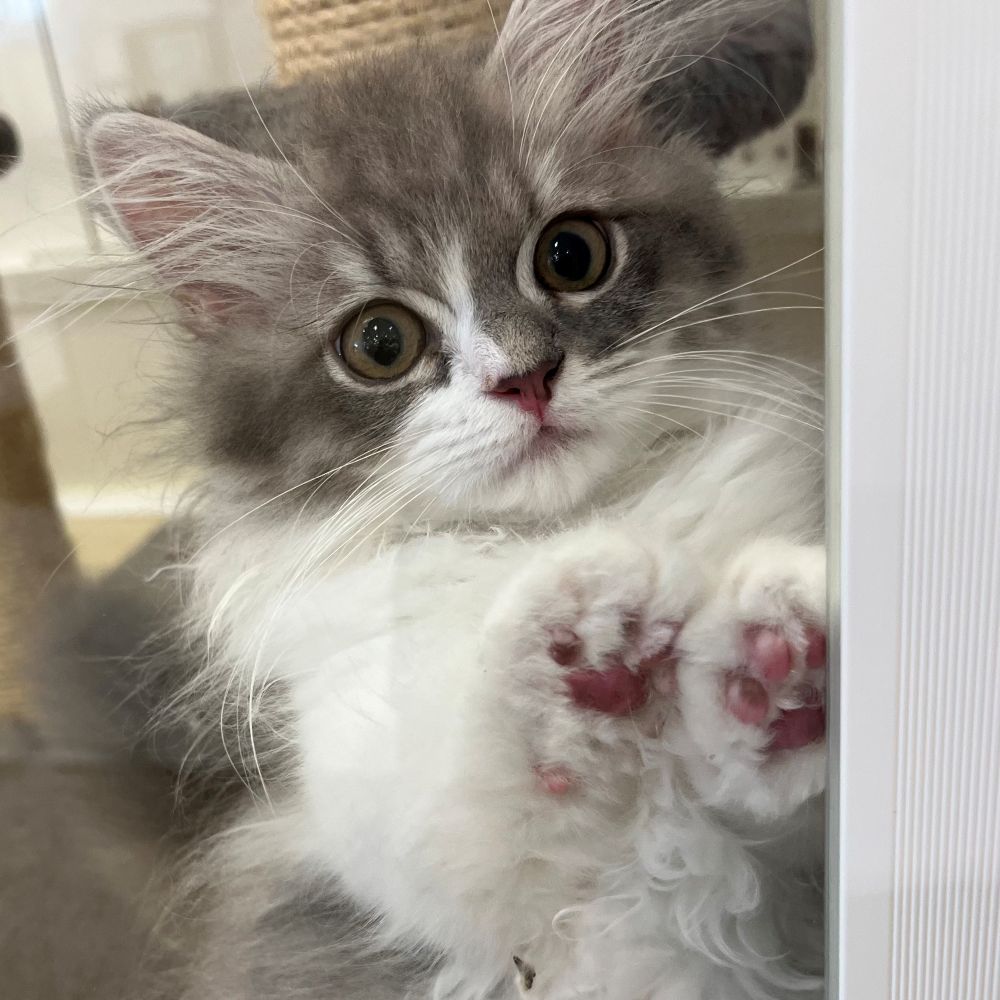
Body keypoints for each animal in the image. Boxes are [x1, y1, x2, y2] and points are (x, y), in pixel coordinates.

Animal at [73, 1, 825, 997]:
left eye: (571, 255)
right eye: (379, 342)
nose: (526, 379)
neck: (556, 526)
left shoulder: (793, 880)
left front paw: (771, 661)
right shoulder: (415, 857)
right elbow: (480, 792)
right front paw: (588, 638)